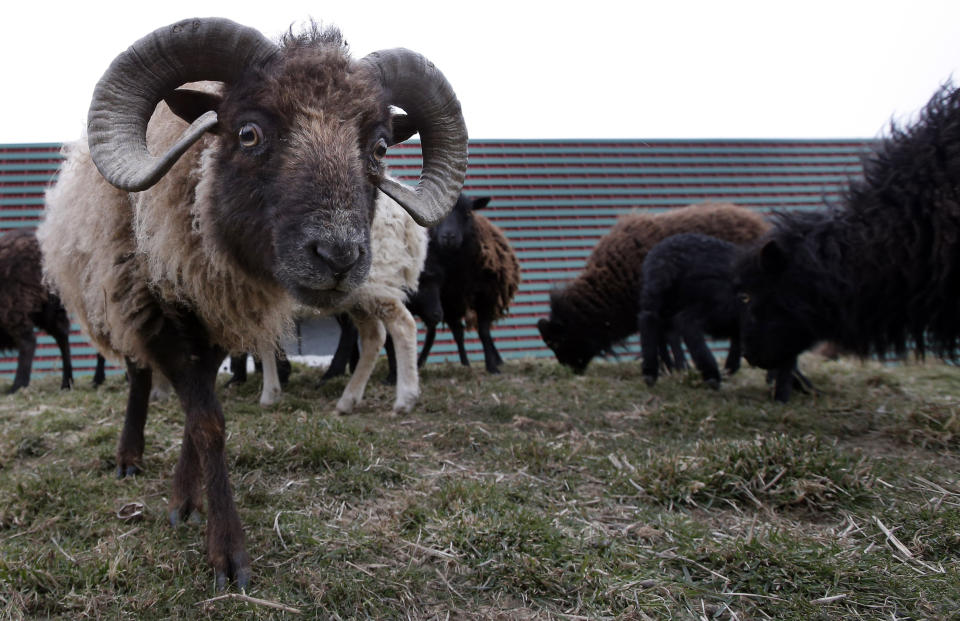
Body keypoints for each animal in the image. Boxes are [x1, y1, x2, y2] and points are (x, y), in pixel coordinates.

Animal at [39, 17, 466, 588]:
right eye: (248, 133)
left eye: (379, 147)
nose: (339, 255)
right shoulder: (158, 314)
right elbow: (206, 421)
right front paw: (227, 551)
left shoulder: (224, 316)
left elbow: (201, 416)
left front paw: (187, 499)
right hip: (118, 296)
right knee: (138, 374)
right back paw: (129, 456)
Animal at [536, 201, 768, 370]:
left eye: (558, 339)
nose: (570, 369)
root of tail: (760, 225)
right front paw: (670, 366)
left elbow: (667, 338)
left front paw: (676, 367)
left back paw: (731, 366)